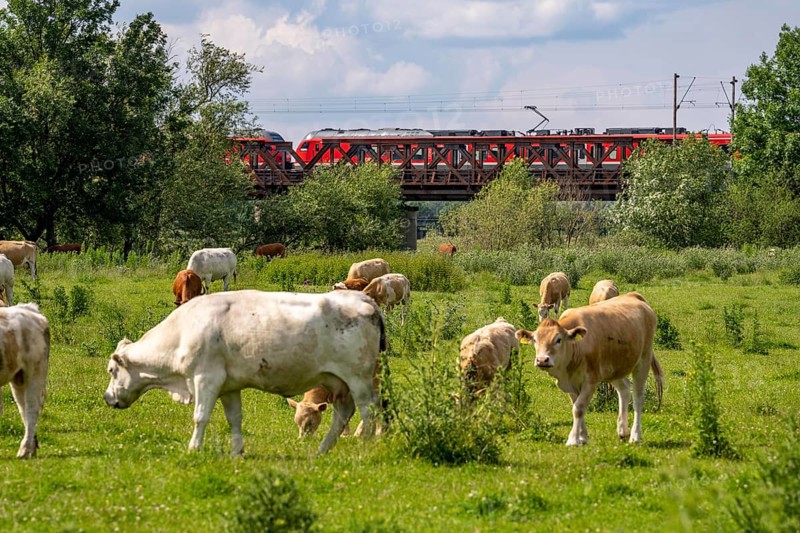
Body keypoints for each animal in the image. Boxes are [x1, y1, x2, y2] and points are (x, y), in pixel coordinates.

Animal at [0, 303, 50, 458]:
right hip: (19, 378)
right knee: (23, 409)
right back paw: (31, 448)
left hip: (35, 371)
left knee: (32, 408)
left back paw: (25, 449)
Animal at [104, 290, 385, 456]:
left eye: (111, 370)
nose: (107, 398)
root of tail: (362, 297)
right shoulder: (229, 386)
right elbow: (234, 419)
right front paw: (236, 451)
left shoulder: (206, 378)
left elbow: (200, 417)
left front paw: (194, 447)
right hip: (339, 382)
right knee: (343, 413)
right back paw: (322, 450)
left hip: (359, 379)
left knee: (368, 410)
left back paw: (365, 447)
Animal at [515, 292, 663, 446]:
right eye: (535, 340)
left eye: (558, 340)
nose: (542, 360)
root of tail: (633, 295)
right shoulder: (570, 383)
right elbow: (576, 406)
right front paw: (582, 437)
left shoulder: (590, 380)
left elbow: (579, 408)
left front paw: (573, 439)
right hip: (614, 369)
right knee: (624, 389)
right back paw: (623, 430)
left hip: (643, 361)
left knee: (638, 398)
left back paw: (635, 436)